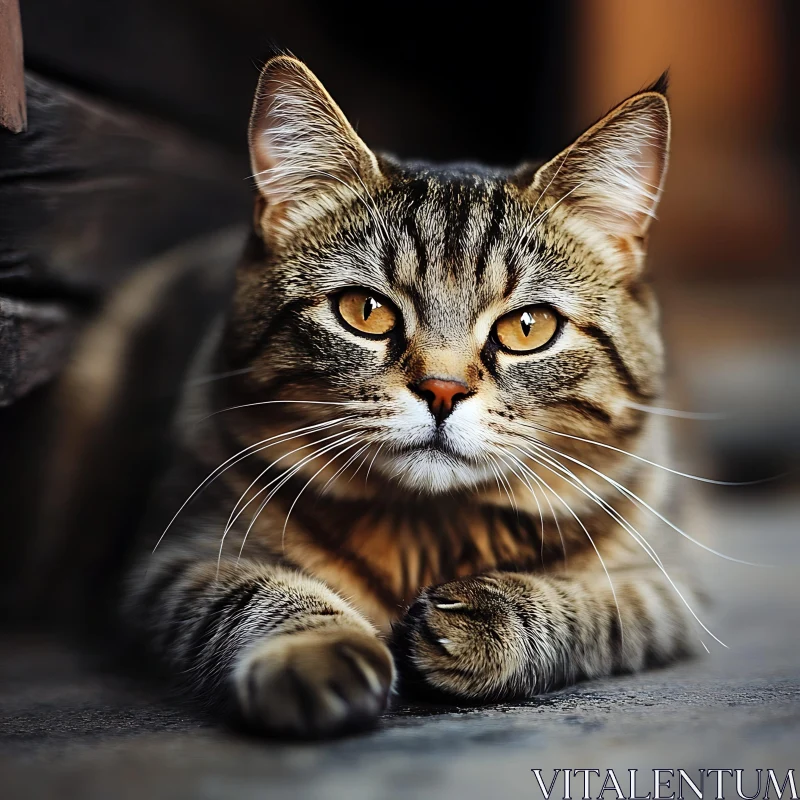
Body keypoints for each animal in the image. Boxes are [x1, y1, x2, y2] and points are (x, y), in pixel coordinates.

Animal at [125, 56, 700, 736]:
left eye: (527, 327)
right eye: (365, 311)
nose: (442, 390)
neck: (427, 534)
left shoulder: (667, 590)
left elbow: (595, 603)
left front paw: (497, 617)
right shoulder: (175, 560)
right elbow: (251, 594)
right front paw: (316, 650)